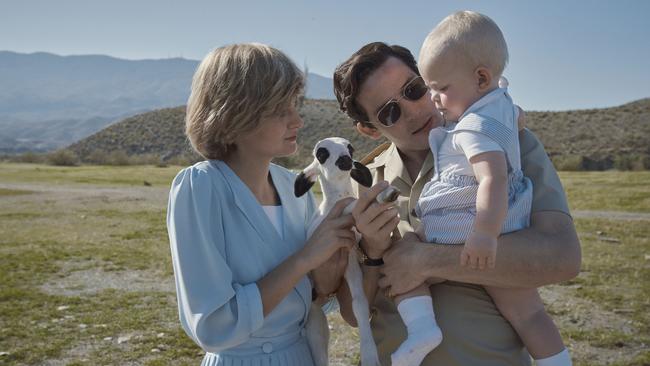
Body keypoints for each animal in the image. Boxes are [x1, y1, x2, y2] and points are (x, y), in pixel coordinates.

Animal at [294, 137, 400, 366]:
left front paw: (369, 354)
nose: (344, 159)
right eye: (321, 153)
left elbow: (359, 303)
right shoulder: (322, 230)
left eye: (350, 148)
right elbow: (351, 205)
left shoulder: (350, 262)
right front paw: (382, 196)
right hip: (314, 322)